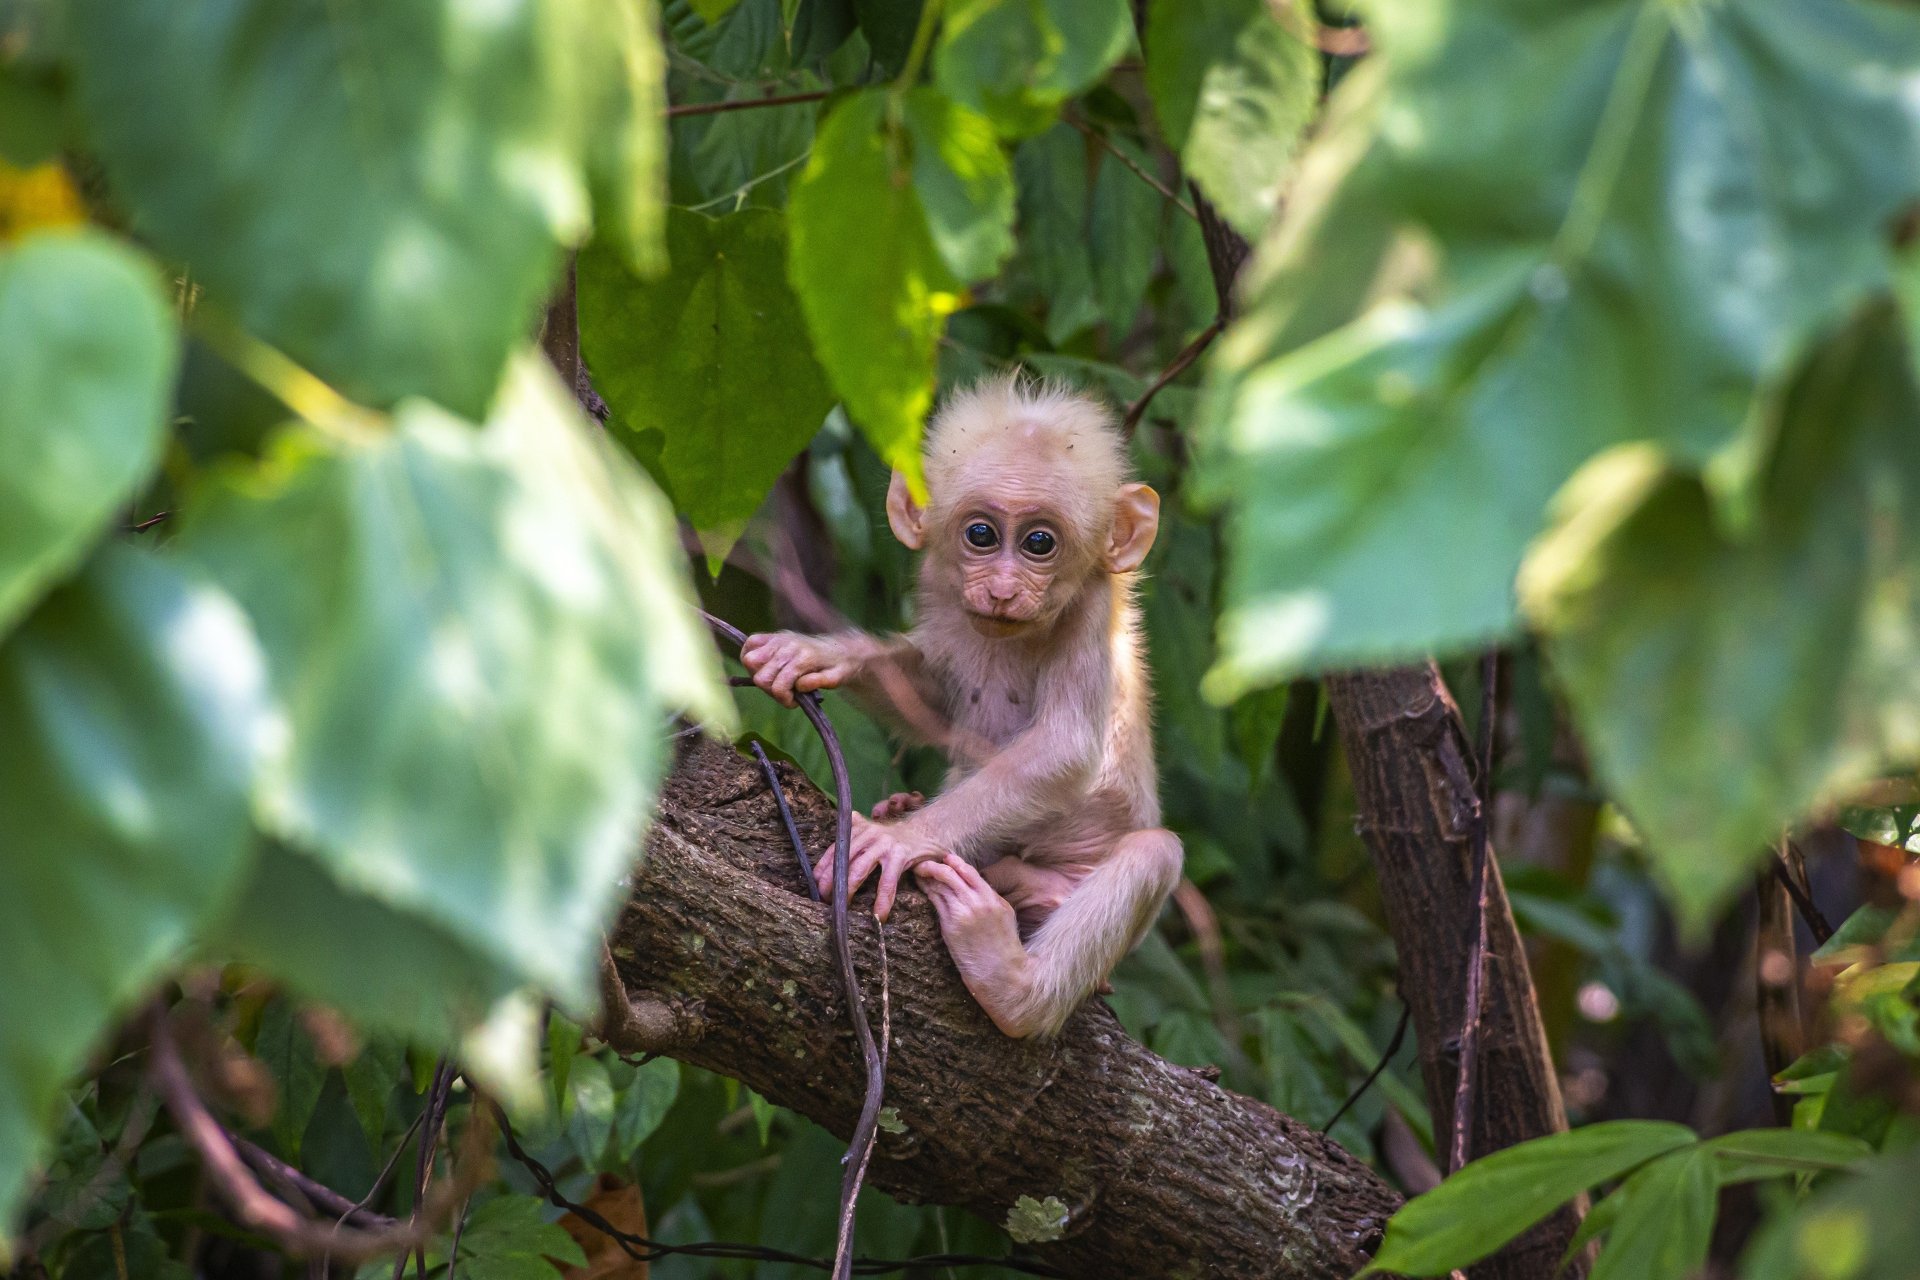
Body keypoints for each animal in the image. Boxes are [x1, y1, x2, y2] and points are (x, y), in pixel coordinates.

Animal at [740, 374, 1182, 1038]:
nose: (1001, 590)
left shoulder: (1092, 610)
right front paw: (819, 654)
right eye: (981, 535)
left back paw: (1012, 984)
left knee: (1155, 851)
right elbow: (934, 700)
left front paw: (900, 840)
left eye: (1039, 543)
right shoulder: (945, 594)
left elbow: (1066, 747)